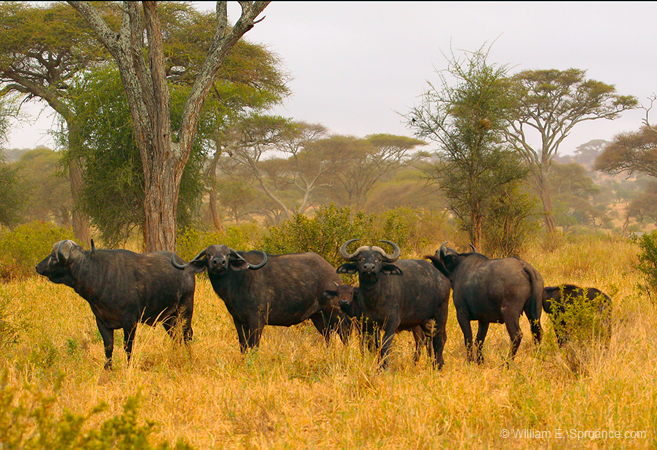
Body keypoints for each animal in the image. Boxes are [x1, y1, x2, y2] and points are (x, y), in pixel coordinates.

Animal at [35, 240, 195, 369]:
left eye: (53, 256)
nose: (37, 266)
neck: (99, 275)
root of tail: (186, 267)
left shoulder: (130, 322)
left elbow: (128, 346)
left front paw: (128, 366)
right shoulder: (101, 321)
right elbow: (108, 346)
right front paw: (107, 368)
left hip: (185, 310)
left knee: (187, 334)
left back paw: (189, 358)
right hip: (168, 318)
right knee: (175, 337)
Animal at [172, 245, 351, 351]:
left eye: (227, 254)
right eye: (209, 254)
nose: (219, 262)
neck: (237, 281)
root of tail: (333, 272)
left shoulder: (257, 320)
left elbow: (254, 345)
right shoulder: (238, 321)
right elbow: (243, 346)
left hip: (335, 312)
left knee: (345, 332)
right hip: (318, 316)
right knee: (328, 336)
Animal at [336, 239, 451, 369]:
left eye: (378, 259)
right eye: (360, 258)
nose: (369, 267)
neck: (374, 298)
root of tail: (441, 275)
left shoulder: (392, 322)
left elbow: (385, 344)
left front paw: (384, 367)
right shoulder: (371, 324)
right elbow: (376, 346)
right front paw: (379, 365)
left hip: (441, 313)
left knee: (439, 338)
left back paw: (438, 365)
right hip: (424, 320)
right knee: (429, 338)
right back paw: (433, 363)